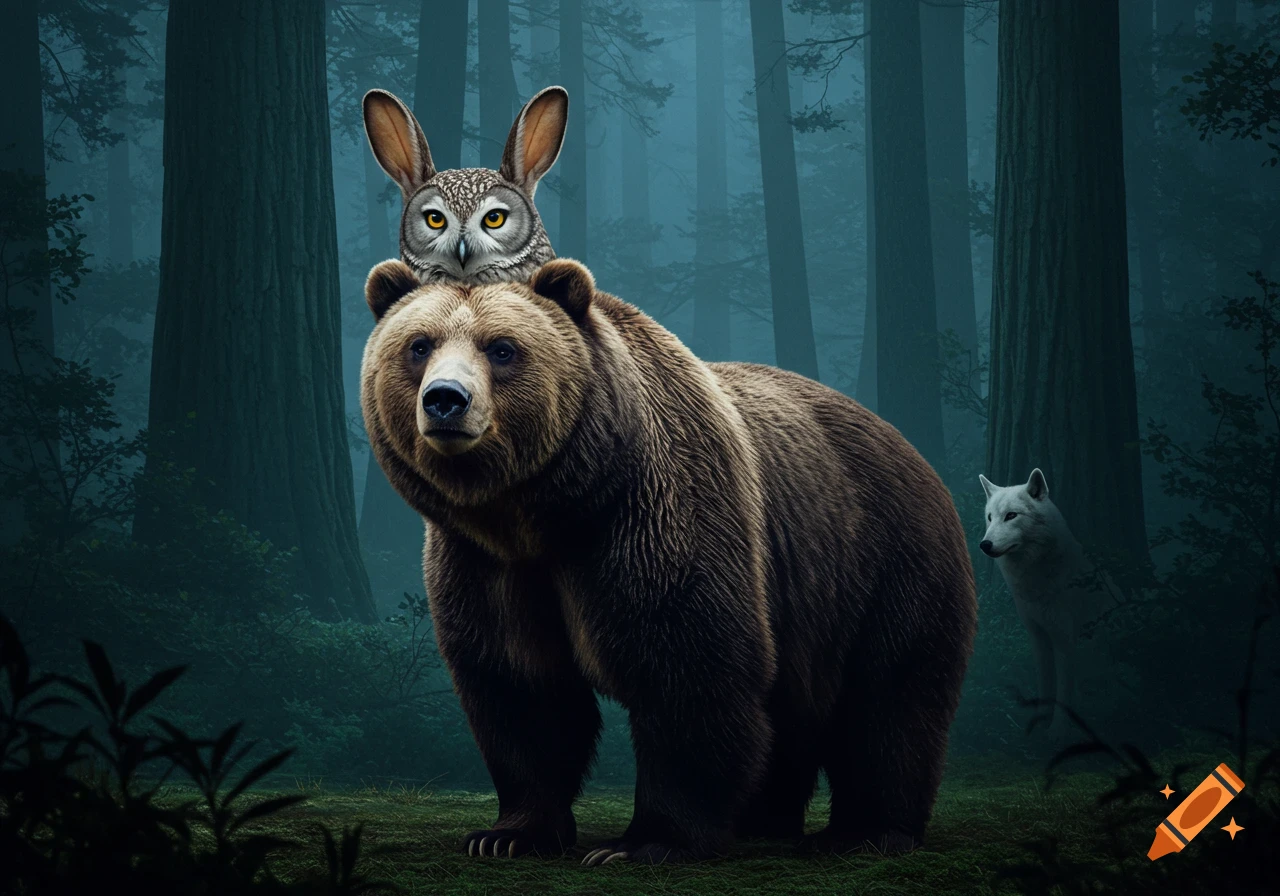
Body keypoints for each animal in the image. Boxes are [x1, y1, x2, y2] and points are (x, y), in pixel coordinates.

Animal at [360, 256, 977, 865]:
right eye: (419, 345)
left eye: (502, 348)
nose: (446, 399)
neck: (546, 512)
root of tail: (910, 446)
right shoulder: (485, 562)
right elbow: (520, 687)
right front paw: (508, 834)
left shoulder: (655, 517)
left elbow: (686, 665)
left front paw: (642, 842)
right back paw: (762, 820)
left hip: (884, 562)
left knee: (889, 698)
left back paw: (868, 830)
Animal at [978, 469, 1121, 739]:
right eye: (990, 518)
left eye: (1011, 515)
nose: (984, 545)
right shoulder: (1037, 635)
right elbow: (1045, 681)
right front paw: (1039, 723)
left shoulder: (1065, 638)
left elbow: (1064, 689)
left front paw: (1057, 730)